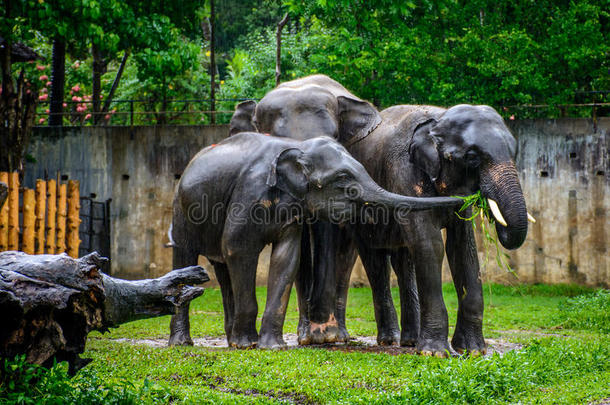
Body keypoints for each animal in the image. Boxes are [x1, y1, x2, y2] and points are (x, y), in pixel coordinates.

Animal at [165, 132, 456, 348]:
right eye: (343, 178)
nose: (463, 200)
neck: (298, 146)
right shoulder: (248, 194)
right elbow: (238, 248)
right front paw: (250, 345)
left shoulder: (293, 210)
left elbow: (286, 258)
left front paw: (272, 347)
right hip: (181, 208)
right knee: (186, 256)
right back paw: (184, 343)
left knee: (222, 268)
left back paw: (230, 341)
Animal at [226, 73, 382, 344]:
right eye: (275, 138)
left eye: (334, 137)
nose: (322, 328)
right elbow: (300, 248)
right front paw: (310, 336)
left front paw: (325, 334)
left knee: (345, 257)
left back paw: (340, 334)